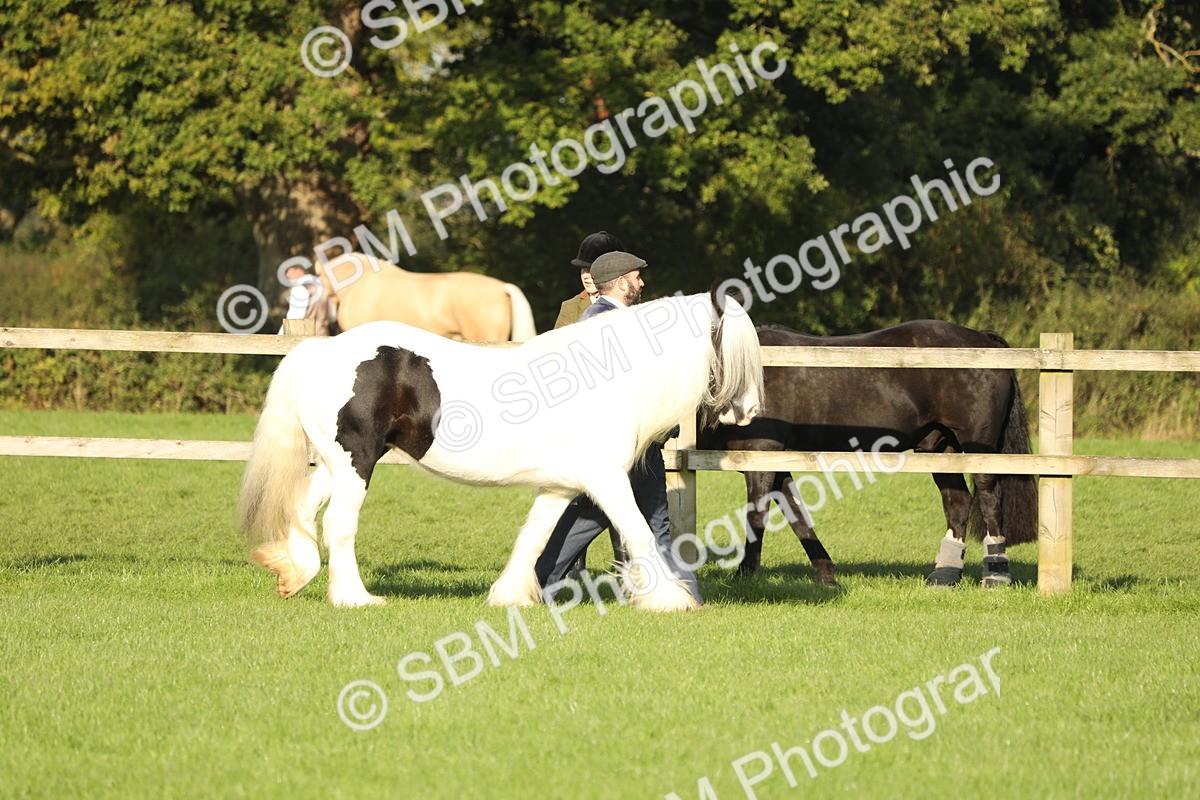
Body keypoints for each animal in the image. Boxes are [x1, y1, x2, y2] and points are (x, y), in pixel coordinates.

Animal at [237, 291, 763, 611]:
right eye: (730, 344)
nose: (750, 410)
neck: (606, 378)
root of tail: (323, 352)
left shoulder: (559, 487)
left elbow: (533, 538)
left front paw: (508, 595)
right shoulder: (606, 480)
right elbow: (638, 531)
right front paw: (671, 600)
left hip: (338, 463)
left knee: (303, 510)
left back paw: (293, 573)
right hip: (355, 463)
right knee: (338, 525)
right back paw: (354, 597)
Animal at [699, 321, 1037, 588]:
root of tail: (982, 339)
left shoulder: (761, 460)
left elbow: (757, 517)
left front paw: (745, 575)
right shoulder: (777, 465)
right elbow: (798, 518)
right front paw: (827, 575)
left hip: (978, 449)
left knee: (990, 499)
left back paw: (996, 575)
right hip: (939, 448)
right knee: (957, 503)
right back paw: (945, 576)